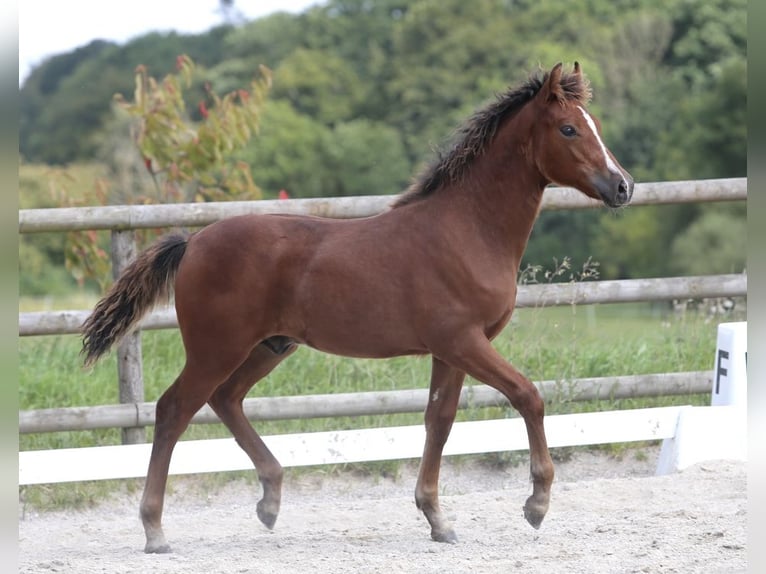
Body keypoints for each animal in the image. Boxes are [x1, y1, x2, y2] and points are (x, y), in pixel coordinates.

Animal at [82, 62, 636, 552]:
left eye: (592, 124)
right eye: (568, 128)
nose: (623, 186)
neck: (467, 230)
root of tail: (193, 242)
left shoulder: (451, 350)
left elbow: (440, 421)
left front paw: (437, 520)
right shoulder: (463, 341)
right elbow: (528, 396)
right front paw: (536, 505)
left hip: (269, 346)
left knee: (226, 399)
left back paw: (270, 500)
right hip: (216, 349)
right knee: (174, 410)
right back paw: (156, 530)